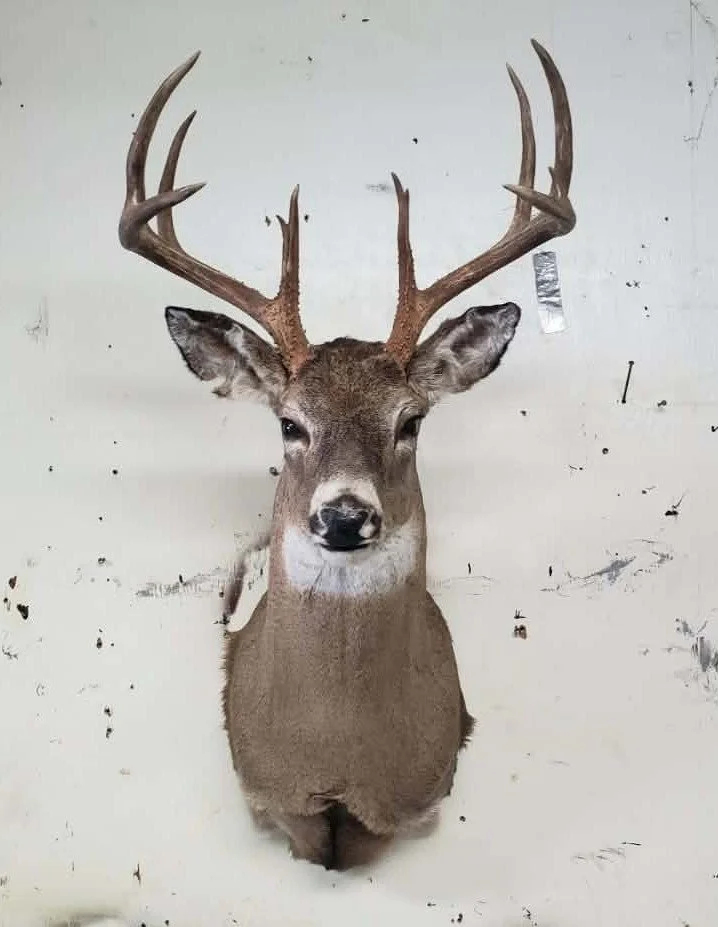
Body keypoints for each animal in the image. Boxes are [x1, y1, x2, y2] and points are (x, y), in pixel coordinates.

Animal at [118, 40, 575, 870]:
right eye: (289, 423)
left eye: (412, 419)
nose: (343, 515)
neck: (336, 756)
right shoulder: (266, 788)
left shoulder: (420, 787)